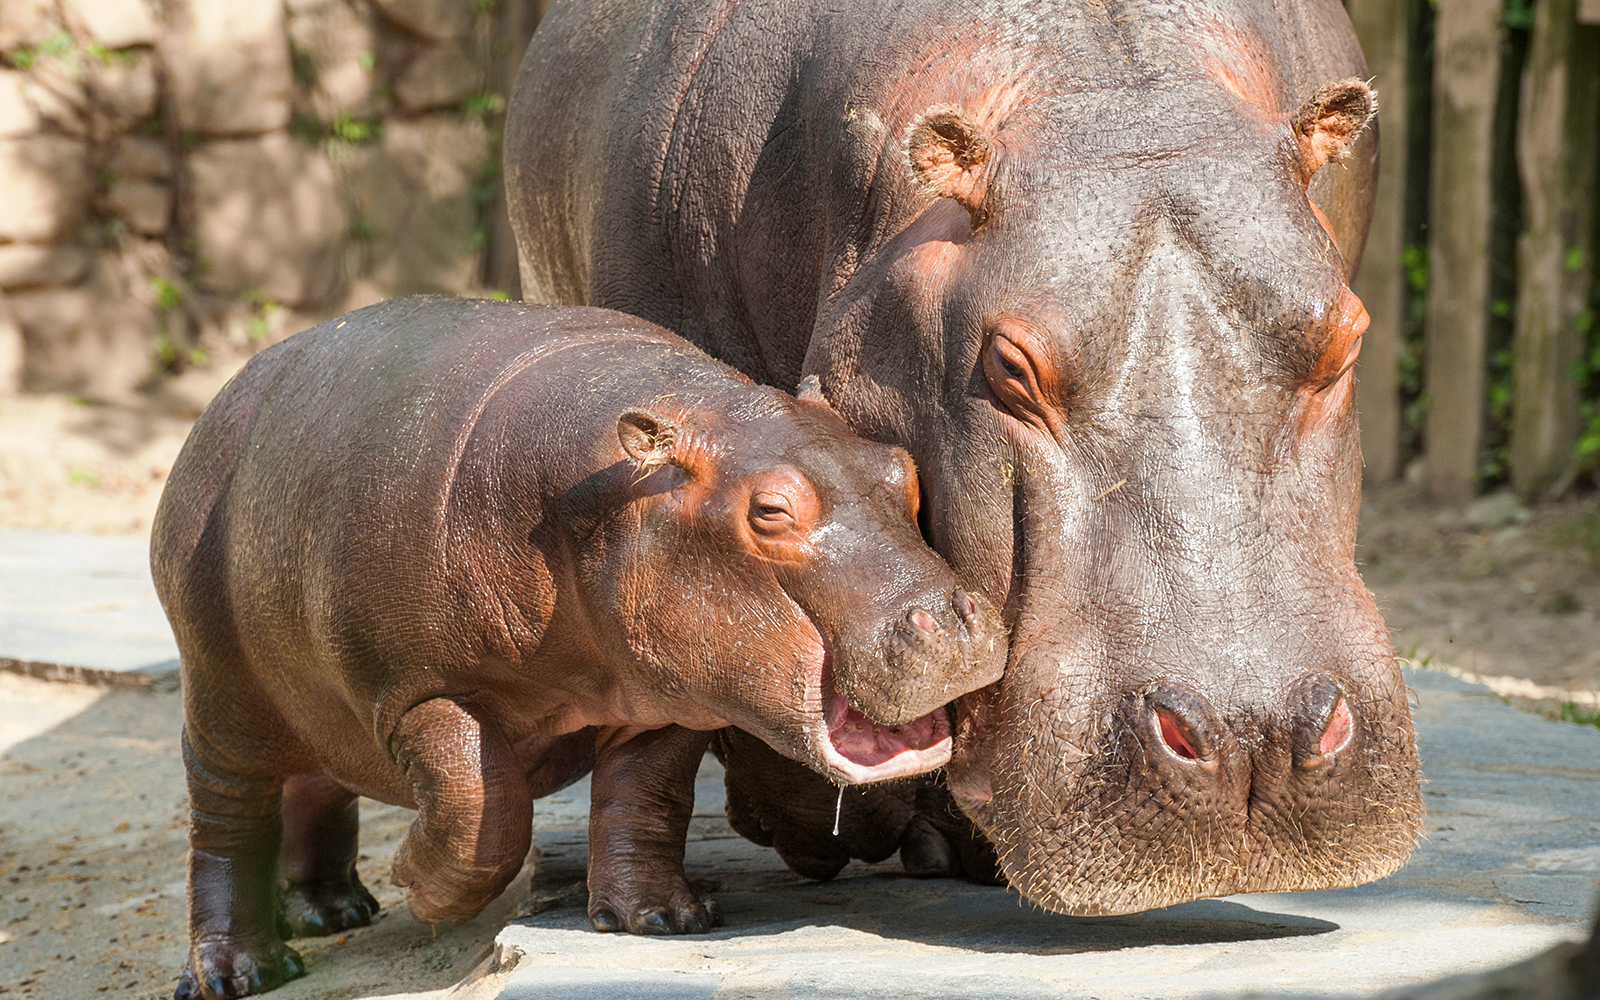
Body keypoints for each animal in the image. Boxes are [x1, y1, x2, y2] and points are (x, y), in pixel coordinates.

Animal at [151, 298, 1004, 999]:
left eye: (902, 469)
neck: (606, 496)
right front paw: (417, 886)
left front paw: (661, 919)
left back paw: (334, 912)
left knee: (315, 785)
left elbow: (642, 798)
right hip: (223, 702)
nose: (956, 617)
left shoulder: (668, 697)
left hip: (312, 703)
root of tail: (214, 409)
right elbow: (482, 807)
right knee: (226, 826)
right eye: (769, 510)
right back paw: (239, 972)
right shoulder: (416, 691)